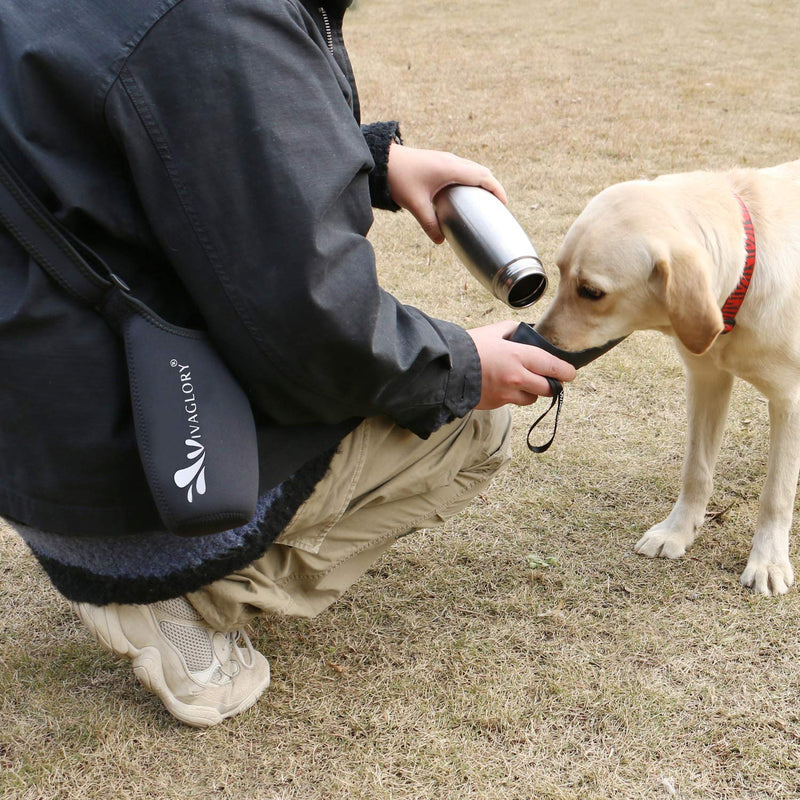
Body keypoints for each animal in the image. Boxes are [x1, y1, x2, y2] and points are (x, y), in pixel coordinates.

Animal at [536, 159, 800, 592]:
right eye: (557, 272)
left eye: (591, 291)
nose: (541, 340)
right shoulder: (706, 380)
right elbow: (695, 470)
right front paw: (678, 532)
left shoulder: (790, 401)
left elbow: (776, 493)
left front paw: (768, 562)